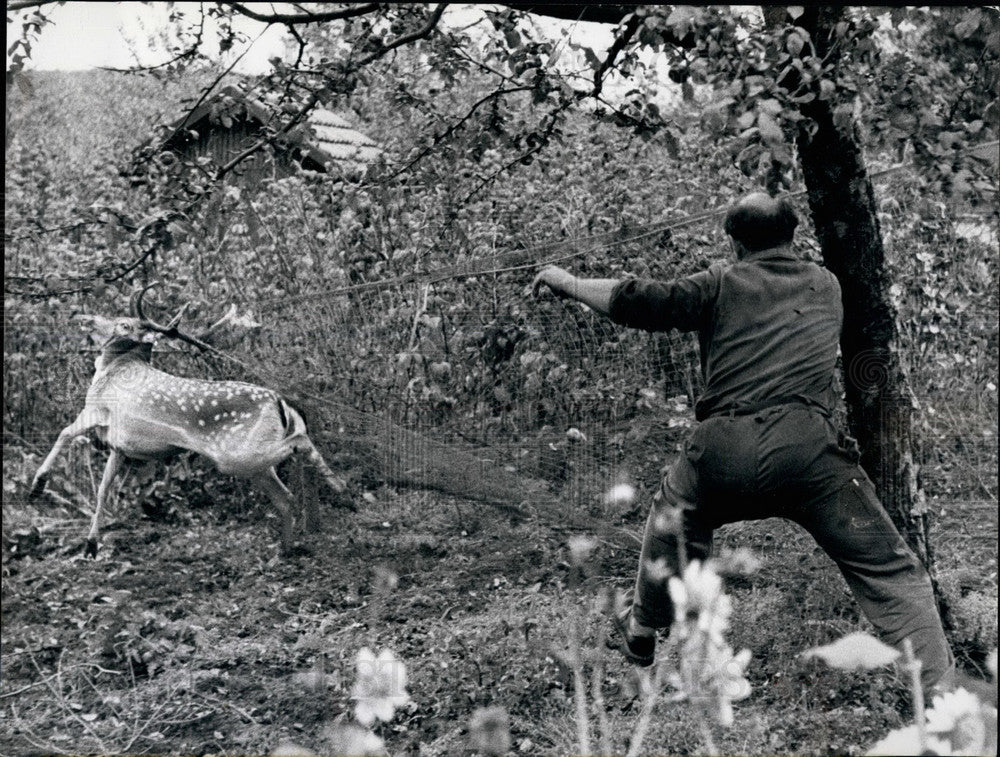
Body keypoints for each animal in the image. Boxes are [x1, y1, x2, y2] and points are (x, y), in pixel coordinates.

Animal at [29, 284, 350, 556]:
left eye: (123, 323)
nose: (84, 318)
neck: (112, 369)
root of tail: (281, 403)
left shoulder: (96, 409)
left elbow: (64, 432)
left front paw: (38, 485)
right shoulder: (118, 446)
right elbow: (102, 491)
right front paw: (91, 545)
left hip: (236, 454)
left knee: (300, 443)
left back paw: (340, 491)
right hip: (255, 462)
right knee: (286, 497)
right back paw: (285, 550)